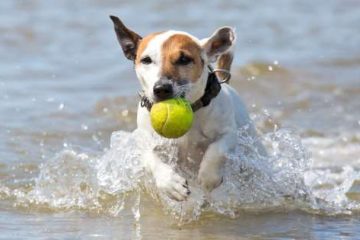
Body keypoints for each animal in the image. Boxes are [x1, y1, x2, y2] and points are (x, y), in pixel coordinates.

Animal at [108, 15, 262, 202]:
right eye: (146, 60)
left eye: (184, 59)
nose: (161, 88)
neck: (192, 109)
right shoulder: (144, 139)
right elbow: (150, 157)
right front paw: (170, 183)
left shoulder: (228, 133)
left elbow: (217, 150)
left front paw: (208, 177)